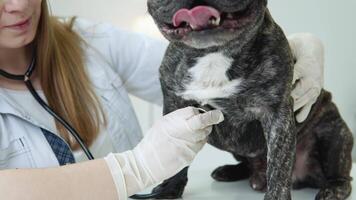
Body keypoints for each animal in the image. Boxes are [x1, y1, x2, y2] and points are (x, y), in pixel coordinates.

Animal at [131, 0, 354, 200]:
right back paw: (230, 171)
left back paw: (332, 189)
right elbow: (176, 155)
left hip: (333, 134)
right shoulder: (175, 109)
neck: (213, 53)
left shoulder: (278, 116)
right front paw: (169, 189)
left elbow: (279, 166)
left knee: (342, 176)